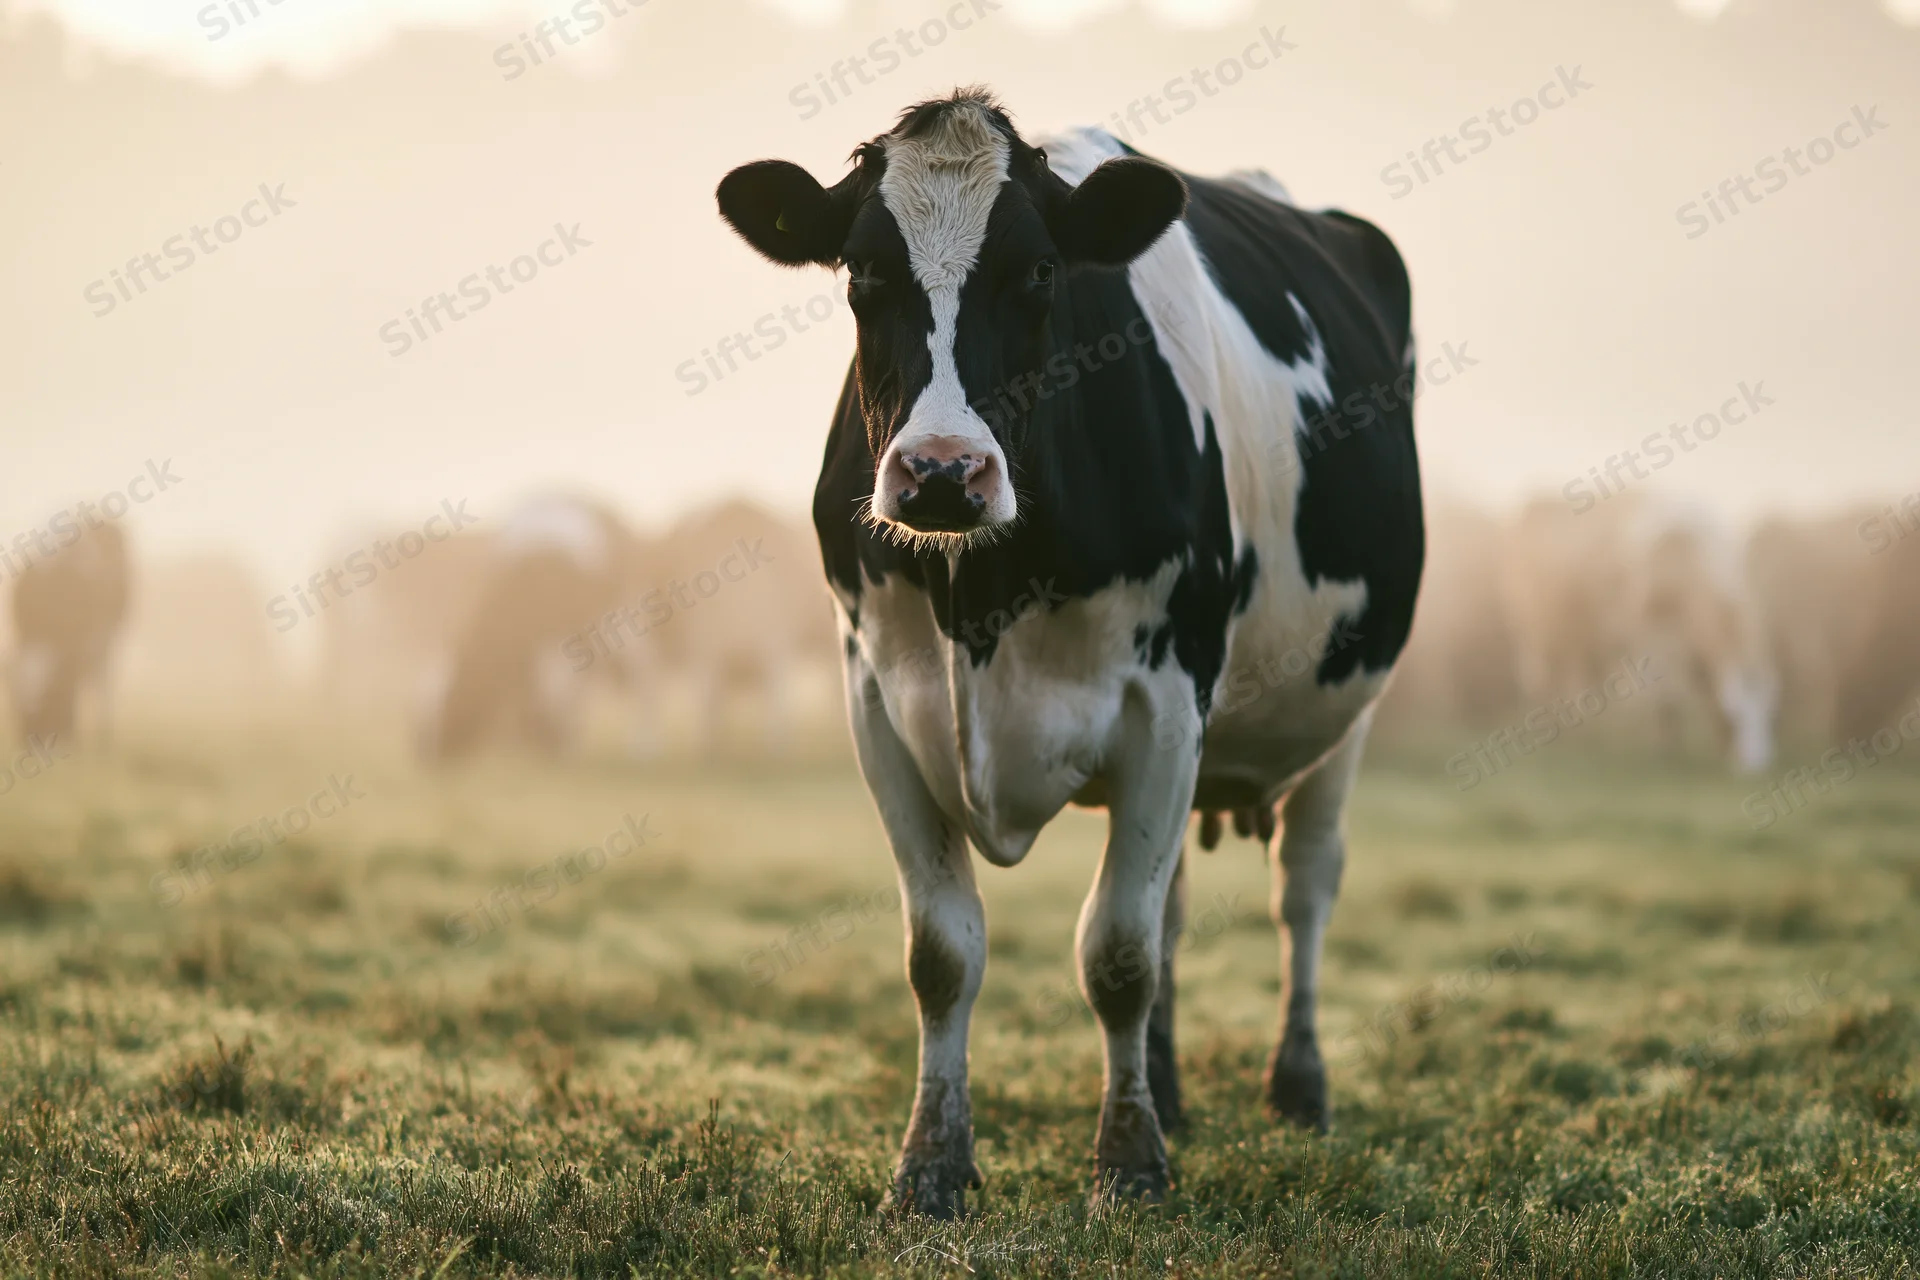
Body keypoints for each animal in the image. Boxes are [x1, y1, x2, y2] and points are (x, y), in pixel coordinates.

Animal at [717, 89, 1424, 1213]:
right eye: (863, 273)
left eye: (1041, 271)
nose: (941, 473)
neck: (982, 597)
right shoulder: (877, 702)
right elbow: (943, 952)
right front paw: (931, 1166)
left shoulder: (1167, 701)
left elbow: (1118, 953)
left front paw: (1129, 1165)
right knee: (1176, 901)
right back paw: (1169, 1090)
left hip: (1344, 702)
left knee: (1304, 886)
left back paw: (1298, 1086)